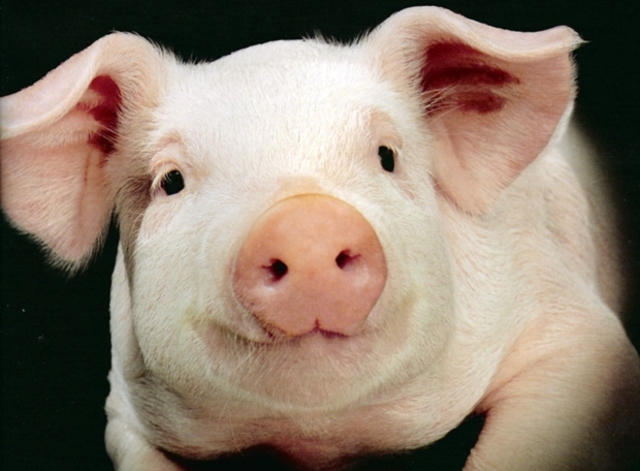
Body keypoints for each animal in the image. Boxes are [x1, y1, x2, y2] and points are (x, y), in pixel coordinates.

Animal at [1, 5, 639, 470]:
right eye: (171, 181)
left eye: (386, 155)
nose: (305, 222)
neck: (322, 440)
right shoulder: (125, 407)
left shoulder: (572, 326)